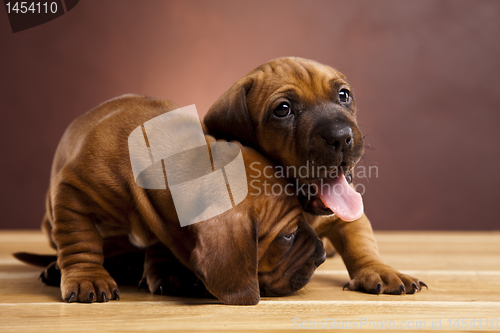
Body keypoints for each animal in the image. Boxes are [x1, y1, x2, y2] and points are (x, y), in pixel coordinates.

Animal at [203, 56, 426, 294]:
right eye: (283, 109)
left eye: (343, 95)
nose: (341, 137)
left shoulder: (350, 218)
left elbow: (362, 243)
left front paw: (380, 270)